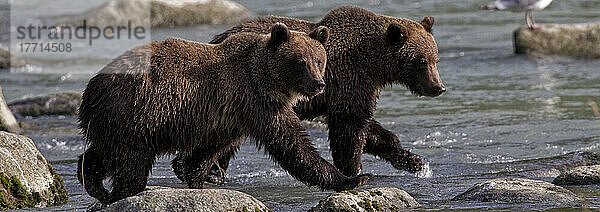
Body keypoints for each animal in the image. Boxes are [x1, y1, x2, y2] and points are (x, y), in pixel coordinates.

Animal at [76, 22, 370, 204]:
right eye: (300, 62)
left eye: (319, 60)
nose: (318, 84)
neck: (264, 79)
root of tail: (90, 89)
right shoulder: (256, 103)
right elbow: (293, 145)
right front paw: (352, 178)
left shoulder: (231, 117)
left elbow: (209, 150)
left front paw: (196, 178)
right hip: (135, 112)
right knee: (130, 161)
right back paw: (123, 192)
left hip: (115, 120)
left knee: (103, 152)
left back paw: (95, 184)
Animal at [173, 4, 446, 184]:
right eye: (421, 61)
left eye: (435, 59)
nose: (438, 87)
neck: (373, 64)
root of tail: (215, 39)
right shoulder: (349, 80)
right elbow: (350, 129)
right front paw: (354, 171)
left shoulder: (348, 90)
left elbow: (369, 129)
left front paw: (413, 160)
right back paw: (202, 171)